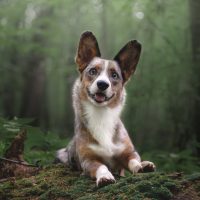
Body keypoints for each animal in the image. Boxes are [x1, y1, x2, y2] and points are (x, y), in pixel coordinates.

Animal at [56, 30, 156, 186]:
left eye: (114, 75)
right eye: (92, 71)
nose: (102, 84)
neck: (101, 114)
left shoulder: (128, 152)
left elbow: (133, 161)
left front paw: (141, 166)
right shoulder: (88, 160)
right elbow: (101, 166)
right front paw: (105, 176)